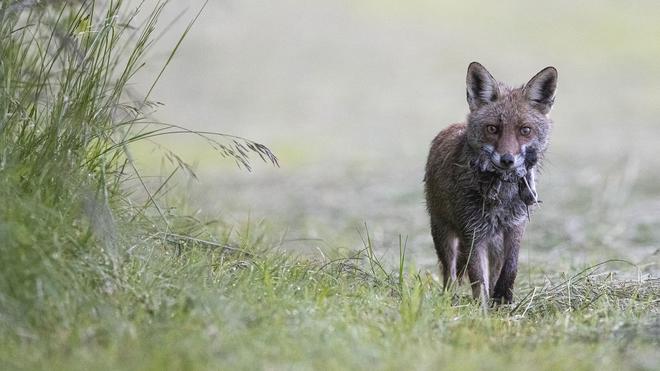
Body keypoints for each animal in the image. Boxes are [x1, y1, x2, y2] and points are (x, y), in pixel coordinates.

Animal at [422, 61, 556, 306]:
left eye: (525, 130)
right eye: (492, 129)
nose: (507, 160)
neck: (502, 193)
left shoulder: (515, 226)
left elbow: (510, 268)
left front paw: (503, 296)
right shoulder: (473, 231)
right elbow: (477, 278)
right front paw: (481, 309)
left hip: (494, 242)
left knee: (493, 271)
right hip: (444, 233)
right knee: (450, 274)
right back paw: (450, 300)